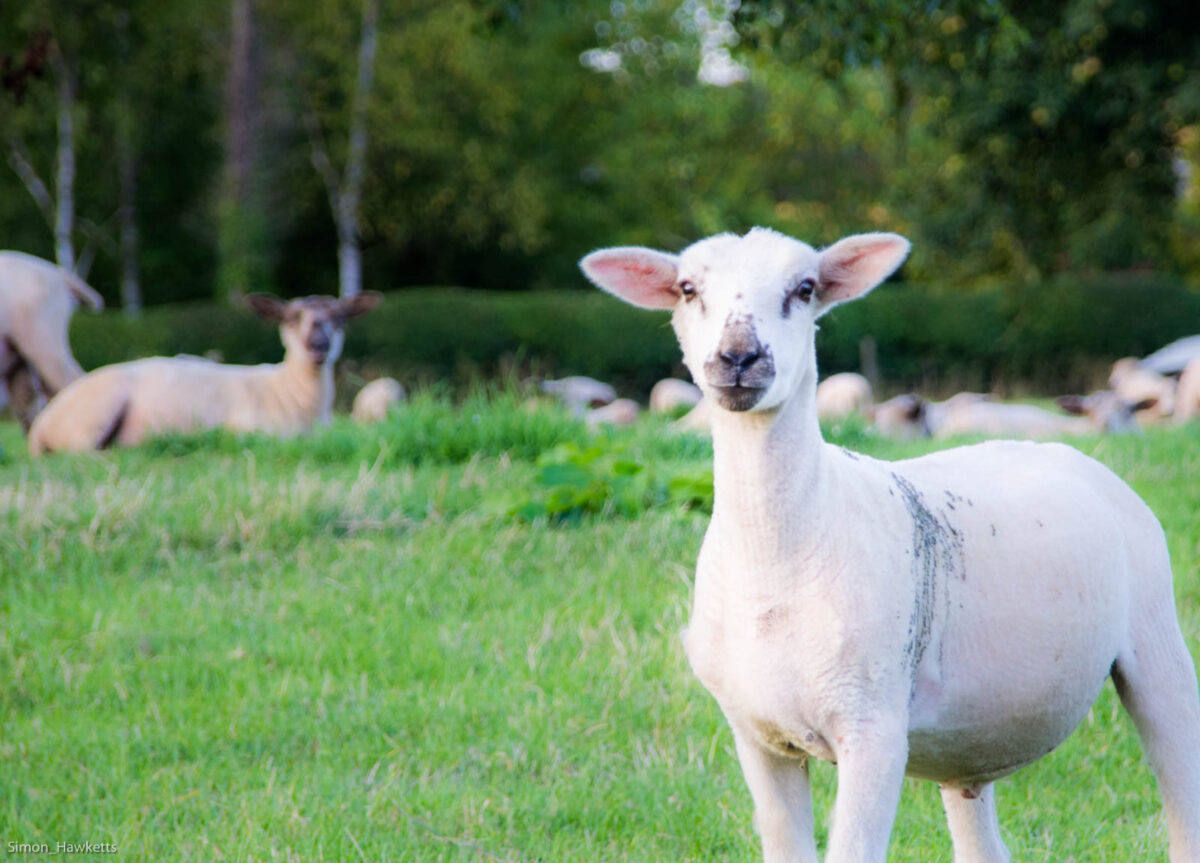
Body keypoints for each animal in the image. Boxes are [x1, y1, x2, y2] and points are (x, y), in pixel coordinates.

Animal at [28, 292, 380, 454]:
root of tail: (40, 424)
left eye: (339, 318)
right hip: (94, 414)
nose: (317, 345)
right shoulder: (247, 426)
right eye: (290, 319)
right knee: (82, 451)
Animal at [581, 227, 1200, 863]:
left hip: (1157, 636)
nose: (738, 358)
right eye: (687, 288)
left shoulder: (874, 730)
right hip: (968, 740)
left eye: (805, 289)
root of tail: (1061, 450)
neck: (779, 560)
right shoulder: (758, 737)